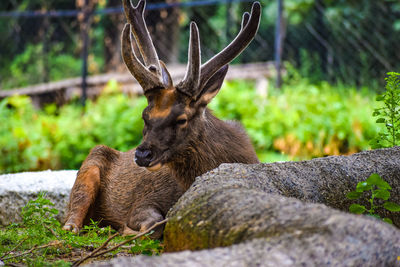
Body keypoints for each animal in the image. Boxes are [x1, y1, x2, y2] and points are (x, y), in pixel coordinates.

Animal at [62, 0, 260, 239]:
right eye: (144, 115)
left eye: (182, 119)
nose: (142, 155)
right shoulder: (143, 201)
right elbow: (154, 224)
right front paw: (125, 229)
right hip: (92, 161)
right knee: (72, 215)